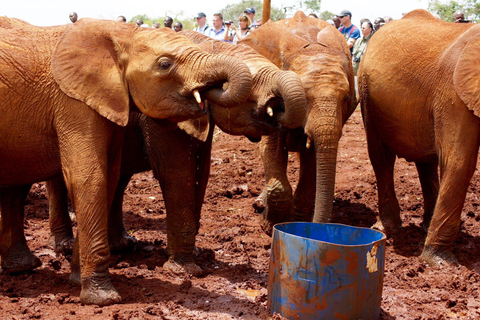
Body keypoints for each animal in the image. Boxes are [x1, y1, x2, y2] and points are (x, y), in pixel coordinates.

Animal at [0, 16, 253, 304]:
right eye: (165, 64)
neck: (123, 35)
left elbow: (109, 178)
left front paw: (77, 281)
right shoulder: (72, 102)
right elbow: (89, 178)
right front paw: (103, 298)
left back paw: (21, 268)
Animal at [45, 32, 306, 276]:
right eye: (252, 86)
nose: (280, 109)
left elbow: (201, 175)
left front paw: (196, 254)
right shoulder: (161, 113)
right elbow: (177, 174)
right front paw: (185, 270)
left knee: (118, 179)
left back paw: (123, 246)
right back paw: (65, 246)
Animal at [240, 11, 356, 231]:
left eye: (346, 98)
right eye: (303, 97)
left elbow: (312, 158)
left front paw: (297, 219)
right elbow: (271, 148)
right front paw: (269, 224)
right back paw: (260, 204)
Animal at [356, 9, 480, 264]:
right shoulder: (455, 94)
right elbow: (459, 162)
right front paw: (439, 262)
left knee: (426, 162)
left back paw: (425, 226)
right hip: (366, 92)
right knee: (381, 157)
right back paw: (388, 230)